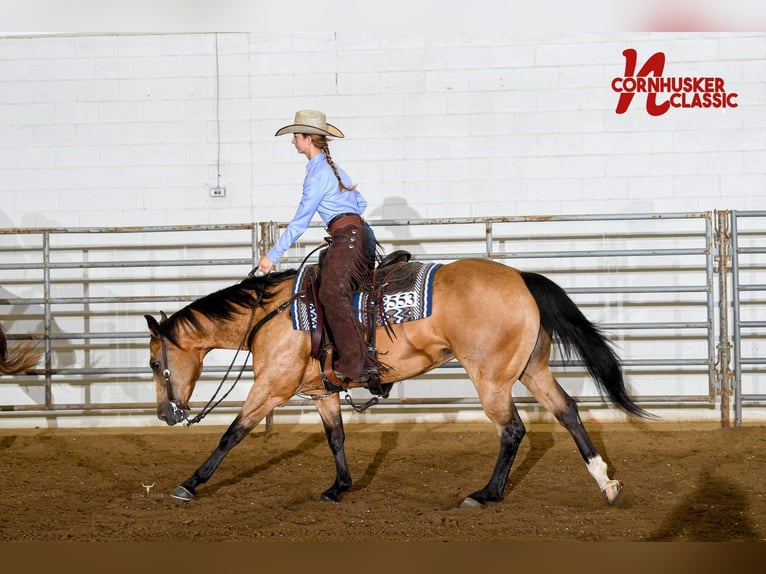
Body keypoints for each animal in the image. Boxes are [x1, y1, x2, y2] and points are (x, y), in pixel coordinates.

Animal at [146, 260, 656, 508]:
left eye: (153, 362)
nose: (166, 415)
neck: (270, 315)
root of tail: (520, 278)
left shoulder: (270, 388)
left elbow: (232, 434)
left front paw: (189, 484)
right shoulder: (321, 392)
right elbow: (336, 437)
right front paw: (339, 487)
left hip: (490, 378)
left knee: (512, 430)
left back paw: (485, 494)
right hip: (531, 368)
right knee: (567, 410)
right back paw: (606, 483)